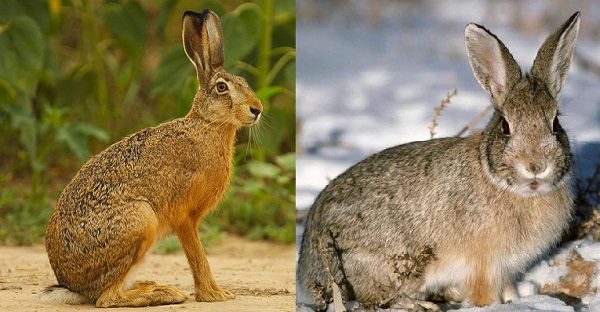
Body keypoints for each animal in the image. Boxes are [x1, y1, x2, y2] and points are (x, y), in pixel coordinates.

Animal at [298, 12, 580, 310]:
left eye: (555, 124)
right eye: (505, 126)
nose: (537, 166)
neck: (505, 184)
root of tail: (305, 271)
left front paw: (516, 299)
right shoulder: (483, 266)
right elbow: (485, 295)